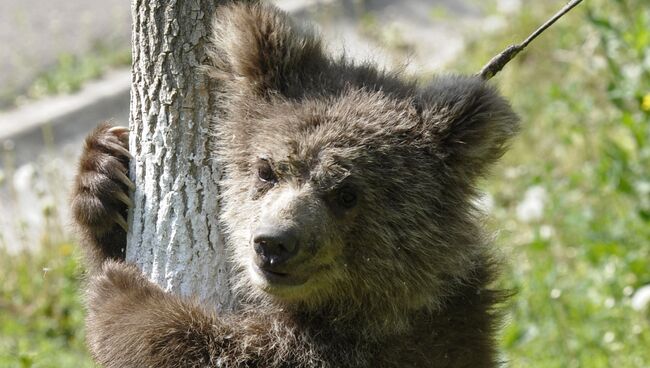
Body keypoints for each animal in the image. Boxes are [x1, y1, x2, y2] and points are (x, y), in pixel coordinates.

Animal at [71, 1, 516, 366]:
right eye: (267, 170)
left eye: (347, 193)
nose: (274, 243)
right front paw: (104, 174)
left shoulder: (389, 346)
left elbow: (230, 352)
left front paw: (123, 297)